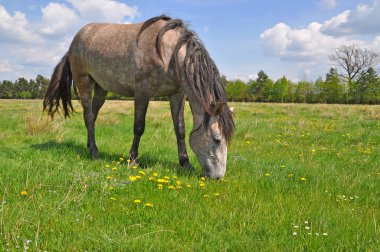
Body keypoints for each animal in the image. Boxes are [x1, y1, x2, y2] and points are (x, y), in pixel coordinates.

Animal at [44, 14, 235, 179]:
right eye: (217, 139)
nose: (218, 177)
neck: (167, 53)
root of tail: (76, 39)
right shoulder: (143, 92)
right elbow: (139, 127)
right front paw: (133, 160)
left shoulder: (177, 95)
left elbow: (179, 129)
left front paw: (185, 163)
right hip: (84, 81)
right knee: (89, 116)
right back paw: (95, 152)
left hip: (101, 88)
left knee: (92, 115)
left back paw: (89, 145)